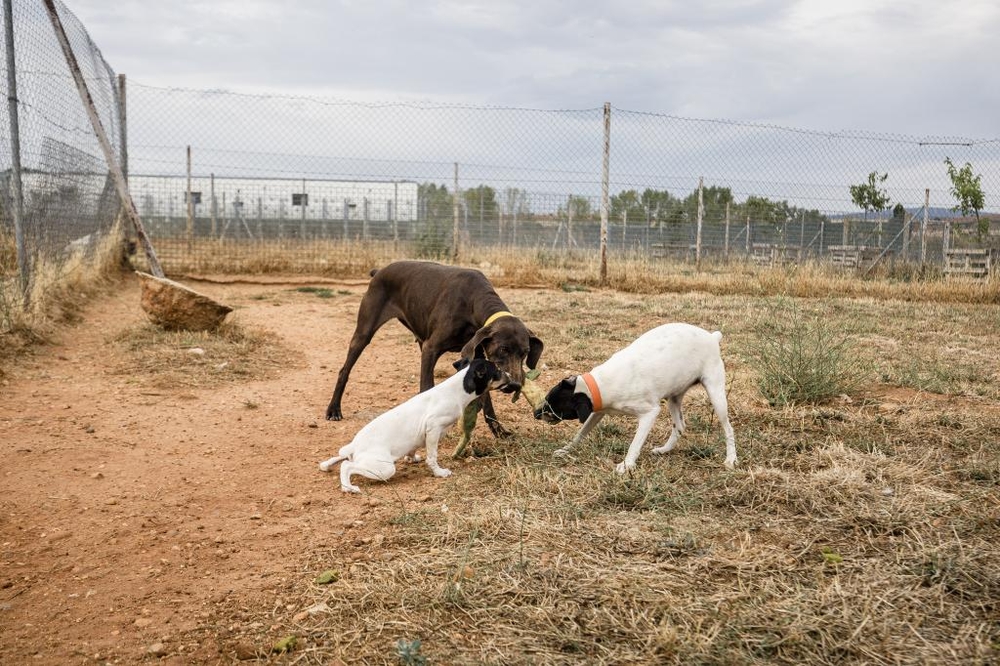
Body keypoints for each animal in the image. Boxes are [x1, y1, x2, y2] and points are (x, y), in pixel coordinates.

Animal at [320, 358, 508, 492]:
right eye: (497, 370)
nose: (509, 373)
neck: (457, 389)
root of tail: (355, 446)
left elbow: (413, 447)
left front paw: (411, 458)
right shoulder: (433, 428)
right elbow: (432, 457)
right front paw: (439, 473)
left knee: (341, 458)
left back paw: (327, 465)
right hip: (385, 468)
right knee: (346, 466)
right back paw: (348, 488)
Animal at [326, 260, 544, 440]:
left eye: (525, 352)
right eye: (503, 349)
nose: (515, 384)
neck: (473, 301)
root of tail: (379, 271)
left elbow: (487, 402)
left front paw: (499, 431)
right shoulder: (431, 349)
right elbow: (426, 386)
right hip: (364, 333)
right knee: (344, 370)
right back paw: (333, 409)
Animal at [536, 322, 740, 472]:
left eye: (551, 404)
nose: (535, 413)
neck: (598, 385)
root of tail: (712, 337)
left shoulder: (649, 413)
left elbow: (635, 444)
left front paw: (626, 465)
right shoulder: (598, 411)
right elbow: (581, 433)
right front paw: (566, 450)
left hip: (715, 393)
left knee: (728, 428)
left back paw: (731, 459)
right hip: (674, 397)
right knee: (680, 426)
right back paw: (664, 450)